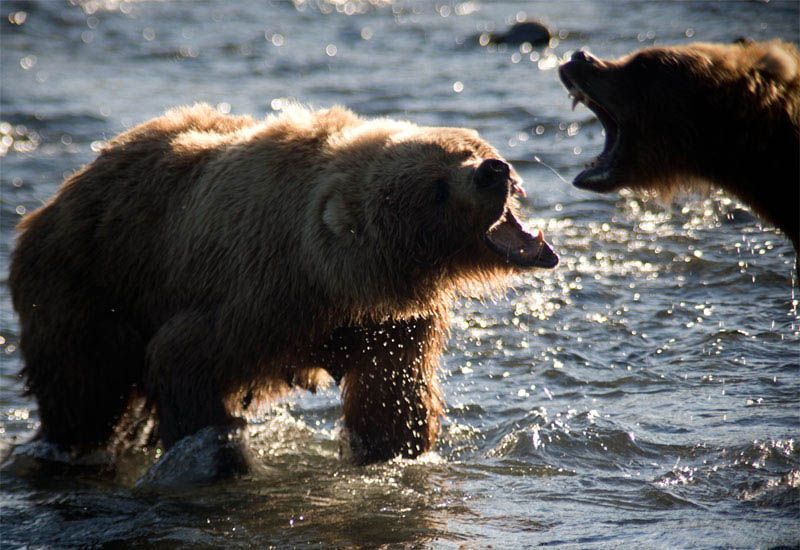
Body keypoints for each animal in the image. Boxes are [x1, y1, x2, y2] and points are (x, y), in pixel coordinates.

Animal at [7, 102, 556, 470]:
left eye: (463, 149)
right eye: (437, 190)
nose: (492, 171)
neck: (331, 277)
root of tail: (48, 204)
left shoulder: (386, 323)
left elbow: (390, 397)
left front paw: (395, 446)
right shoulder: (255, 297)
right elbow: (184, 357)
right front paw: (216, 448)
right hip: (89, 284)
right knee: (83, 389)